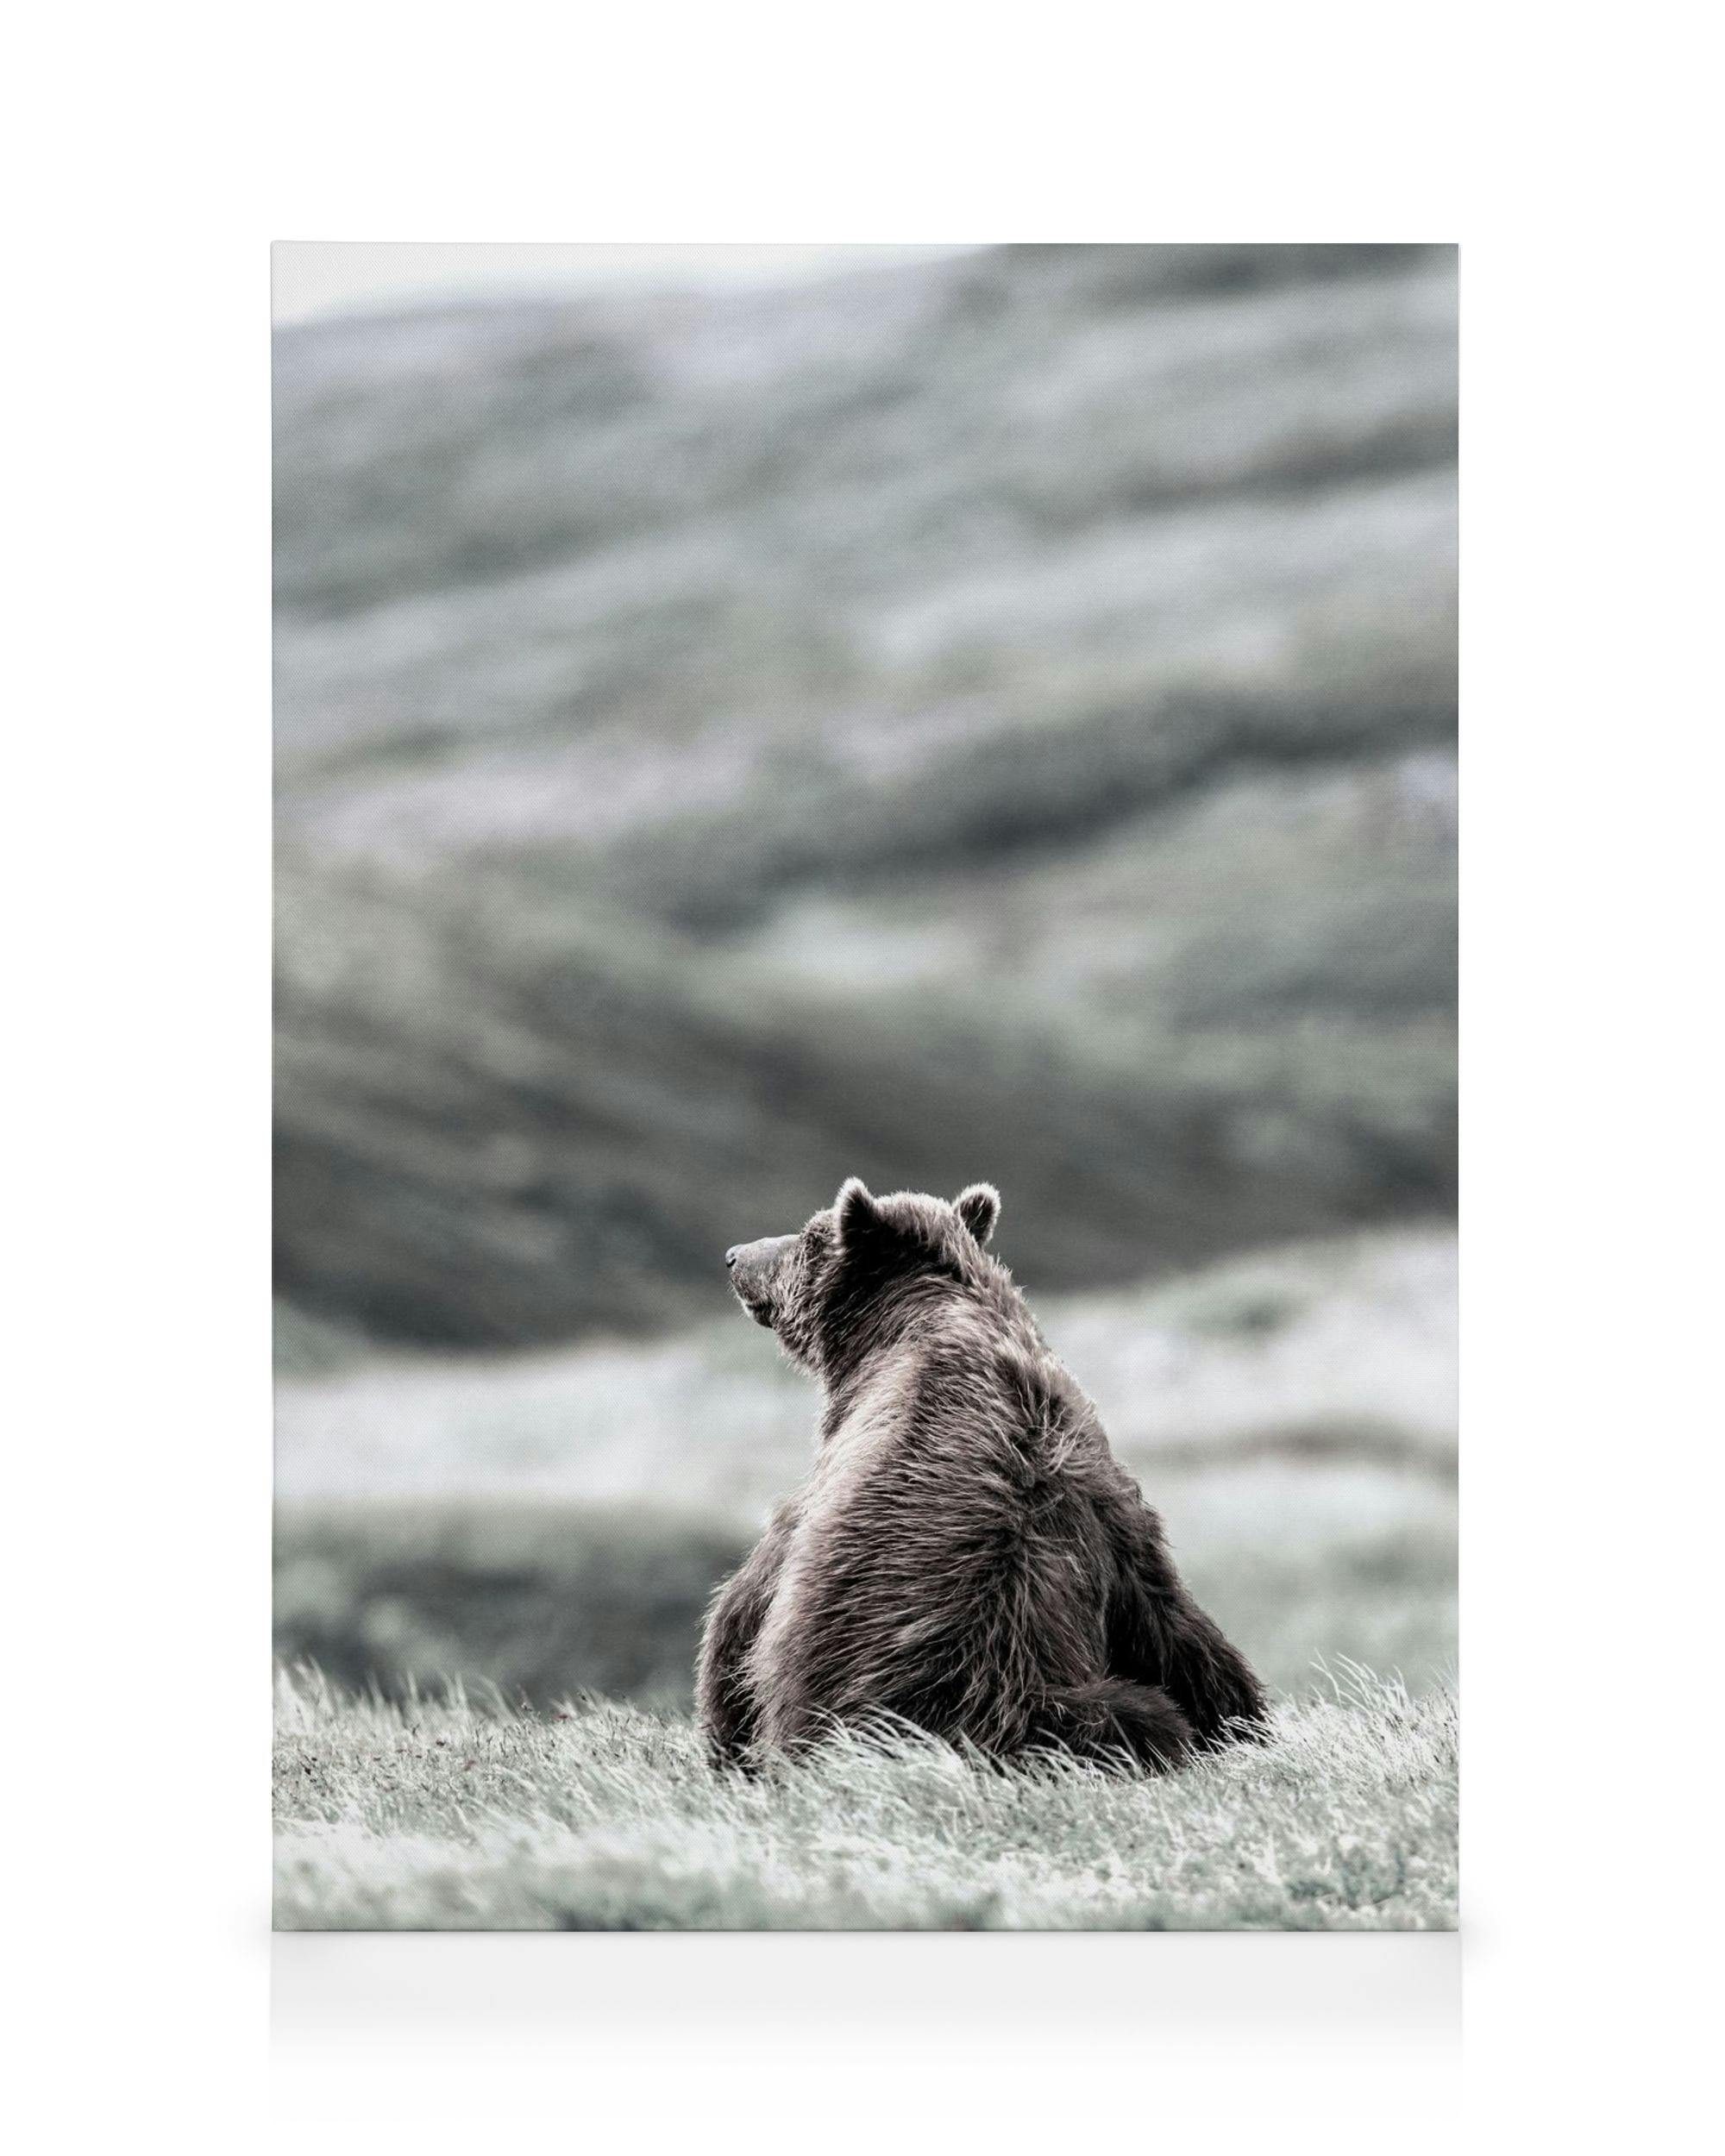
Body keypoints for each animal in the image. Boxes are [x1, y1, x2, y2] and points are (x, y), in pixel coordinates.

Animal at [696, 1177, 1267, 1771]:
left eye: (810, 1237)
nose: (735, 1256)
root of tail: (1004, 1696)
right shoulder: (1111, 1495)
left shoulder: (836, 1479)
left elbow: (744, 1604)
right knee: (1174, 1681)